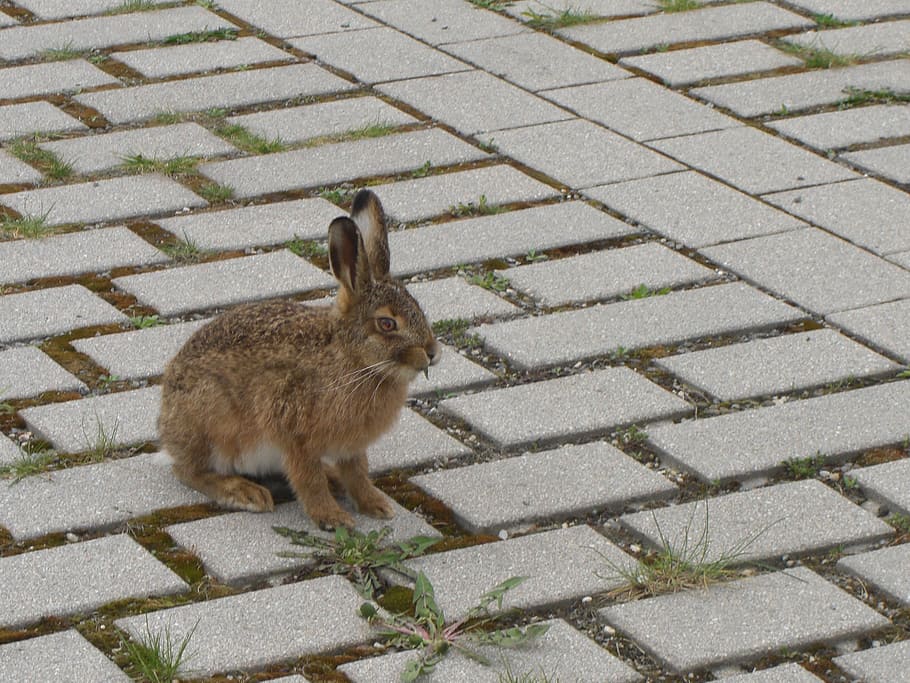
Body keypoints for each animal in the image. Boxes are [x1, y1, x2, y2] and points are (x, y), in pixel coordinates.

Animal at [158, 189, 440, 530]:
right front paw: (333, 518)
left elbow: (357, 474)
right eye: (387, 324)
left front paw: (376, 505)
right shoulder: (295, 435)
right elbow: (308, 479)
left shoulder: (351, 448)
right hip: (213, 419)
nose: (432, 352)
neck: (353, 361)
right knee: (189, 471)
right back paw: (244, 493)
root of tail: (166, 422)